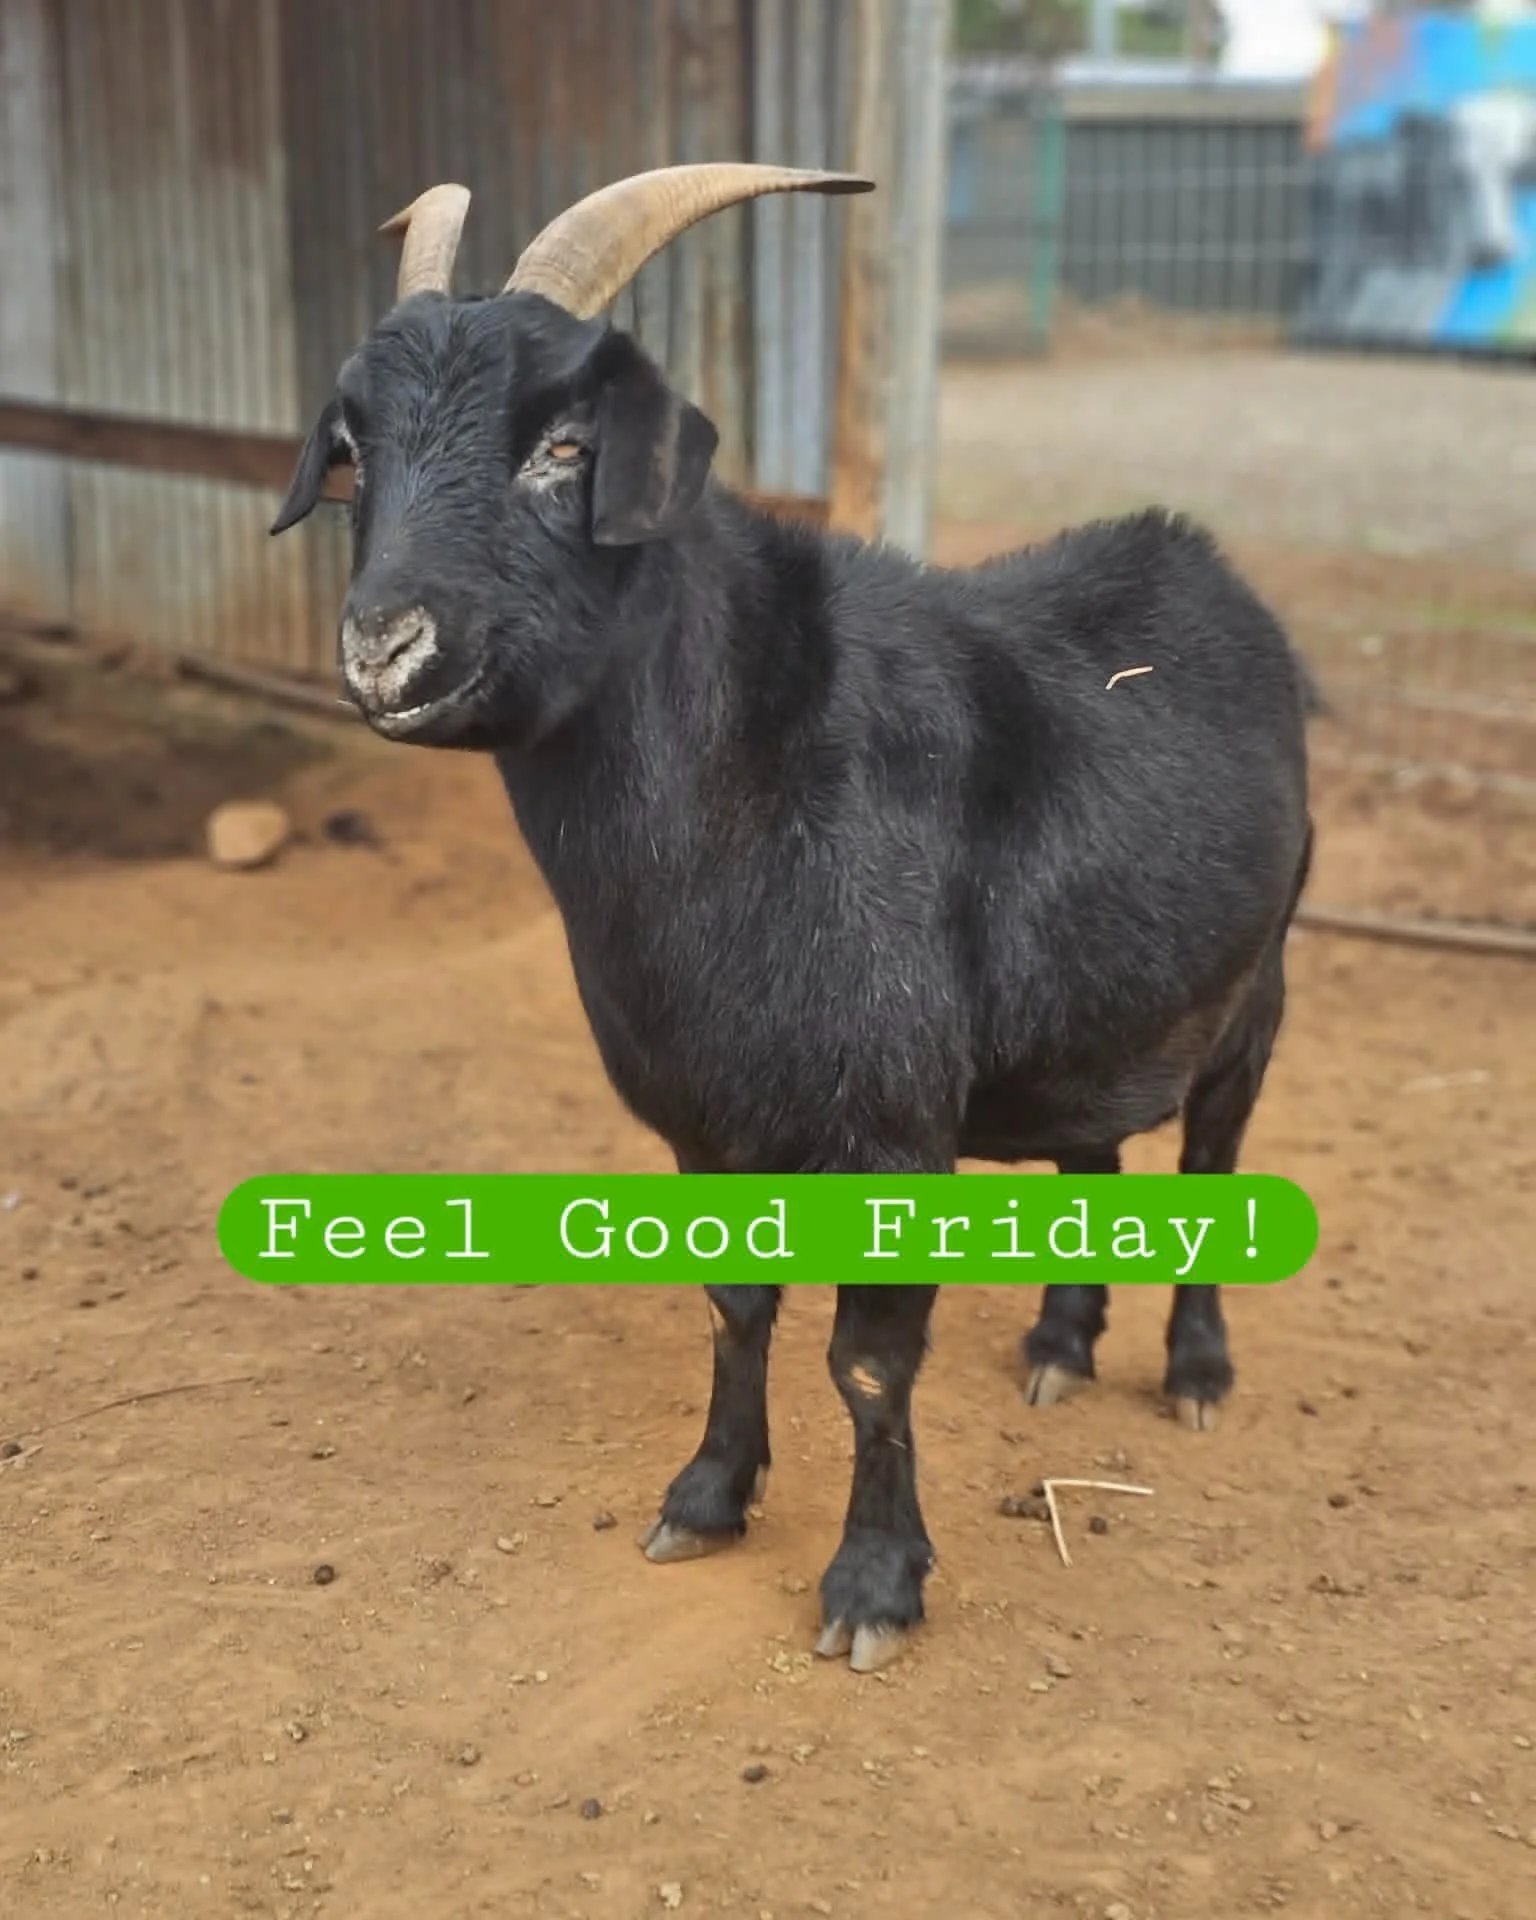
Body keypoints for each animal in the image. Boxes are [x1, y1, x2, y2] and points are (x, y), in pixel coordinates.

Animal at [272, 165, 1316, 1674]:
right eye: (352, 452)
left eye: (566, 445)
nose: (384, 649)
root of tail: (1198, 561)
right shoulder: (706, 1113)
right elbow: (734, 1302)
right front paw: (707, 1497)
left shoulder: (892, 1124)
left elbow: (868, 1359)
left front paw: (874, 1584)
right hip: (1101, 1001)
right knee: (1097, 1145)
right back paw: (1062, 1346)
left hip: (1259, 980)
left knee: (1214, 1154)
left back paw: (1194, 1368)